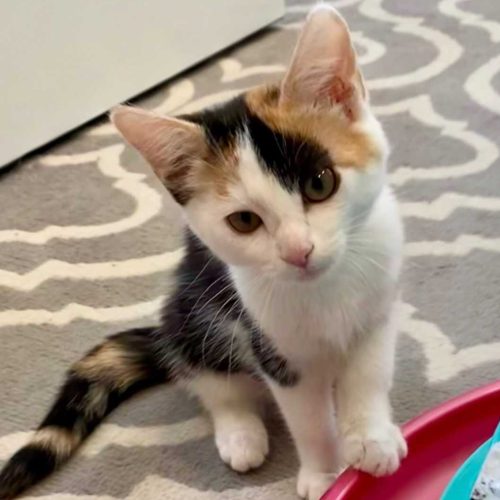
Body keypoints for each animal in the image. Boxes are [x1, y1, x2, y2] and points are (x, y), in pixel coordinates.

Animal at [0, 5, 407, 500]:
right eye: (244, 221)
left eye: (320, 183)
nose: (299, 251)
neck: (329, 289)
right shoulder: (272, 346)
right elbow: (307, 419)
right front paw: (325, 473)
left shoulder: (377, 313)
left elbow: (369, 378)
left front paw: (372, 439)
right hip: (192, 316)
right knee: (212, 383)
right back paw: (240, 434)